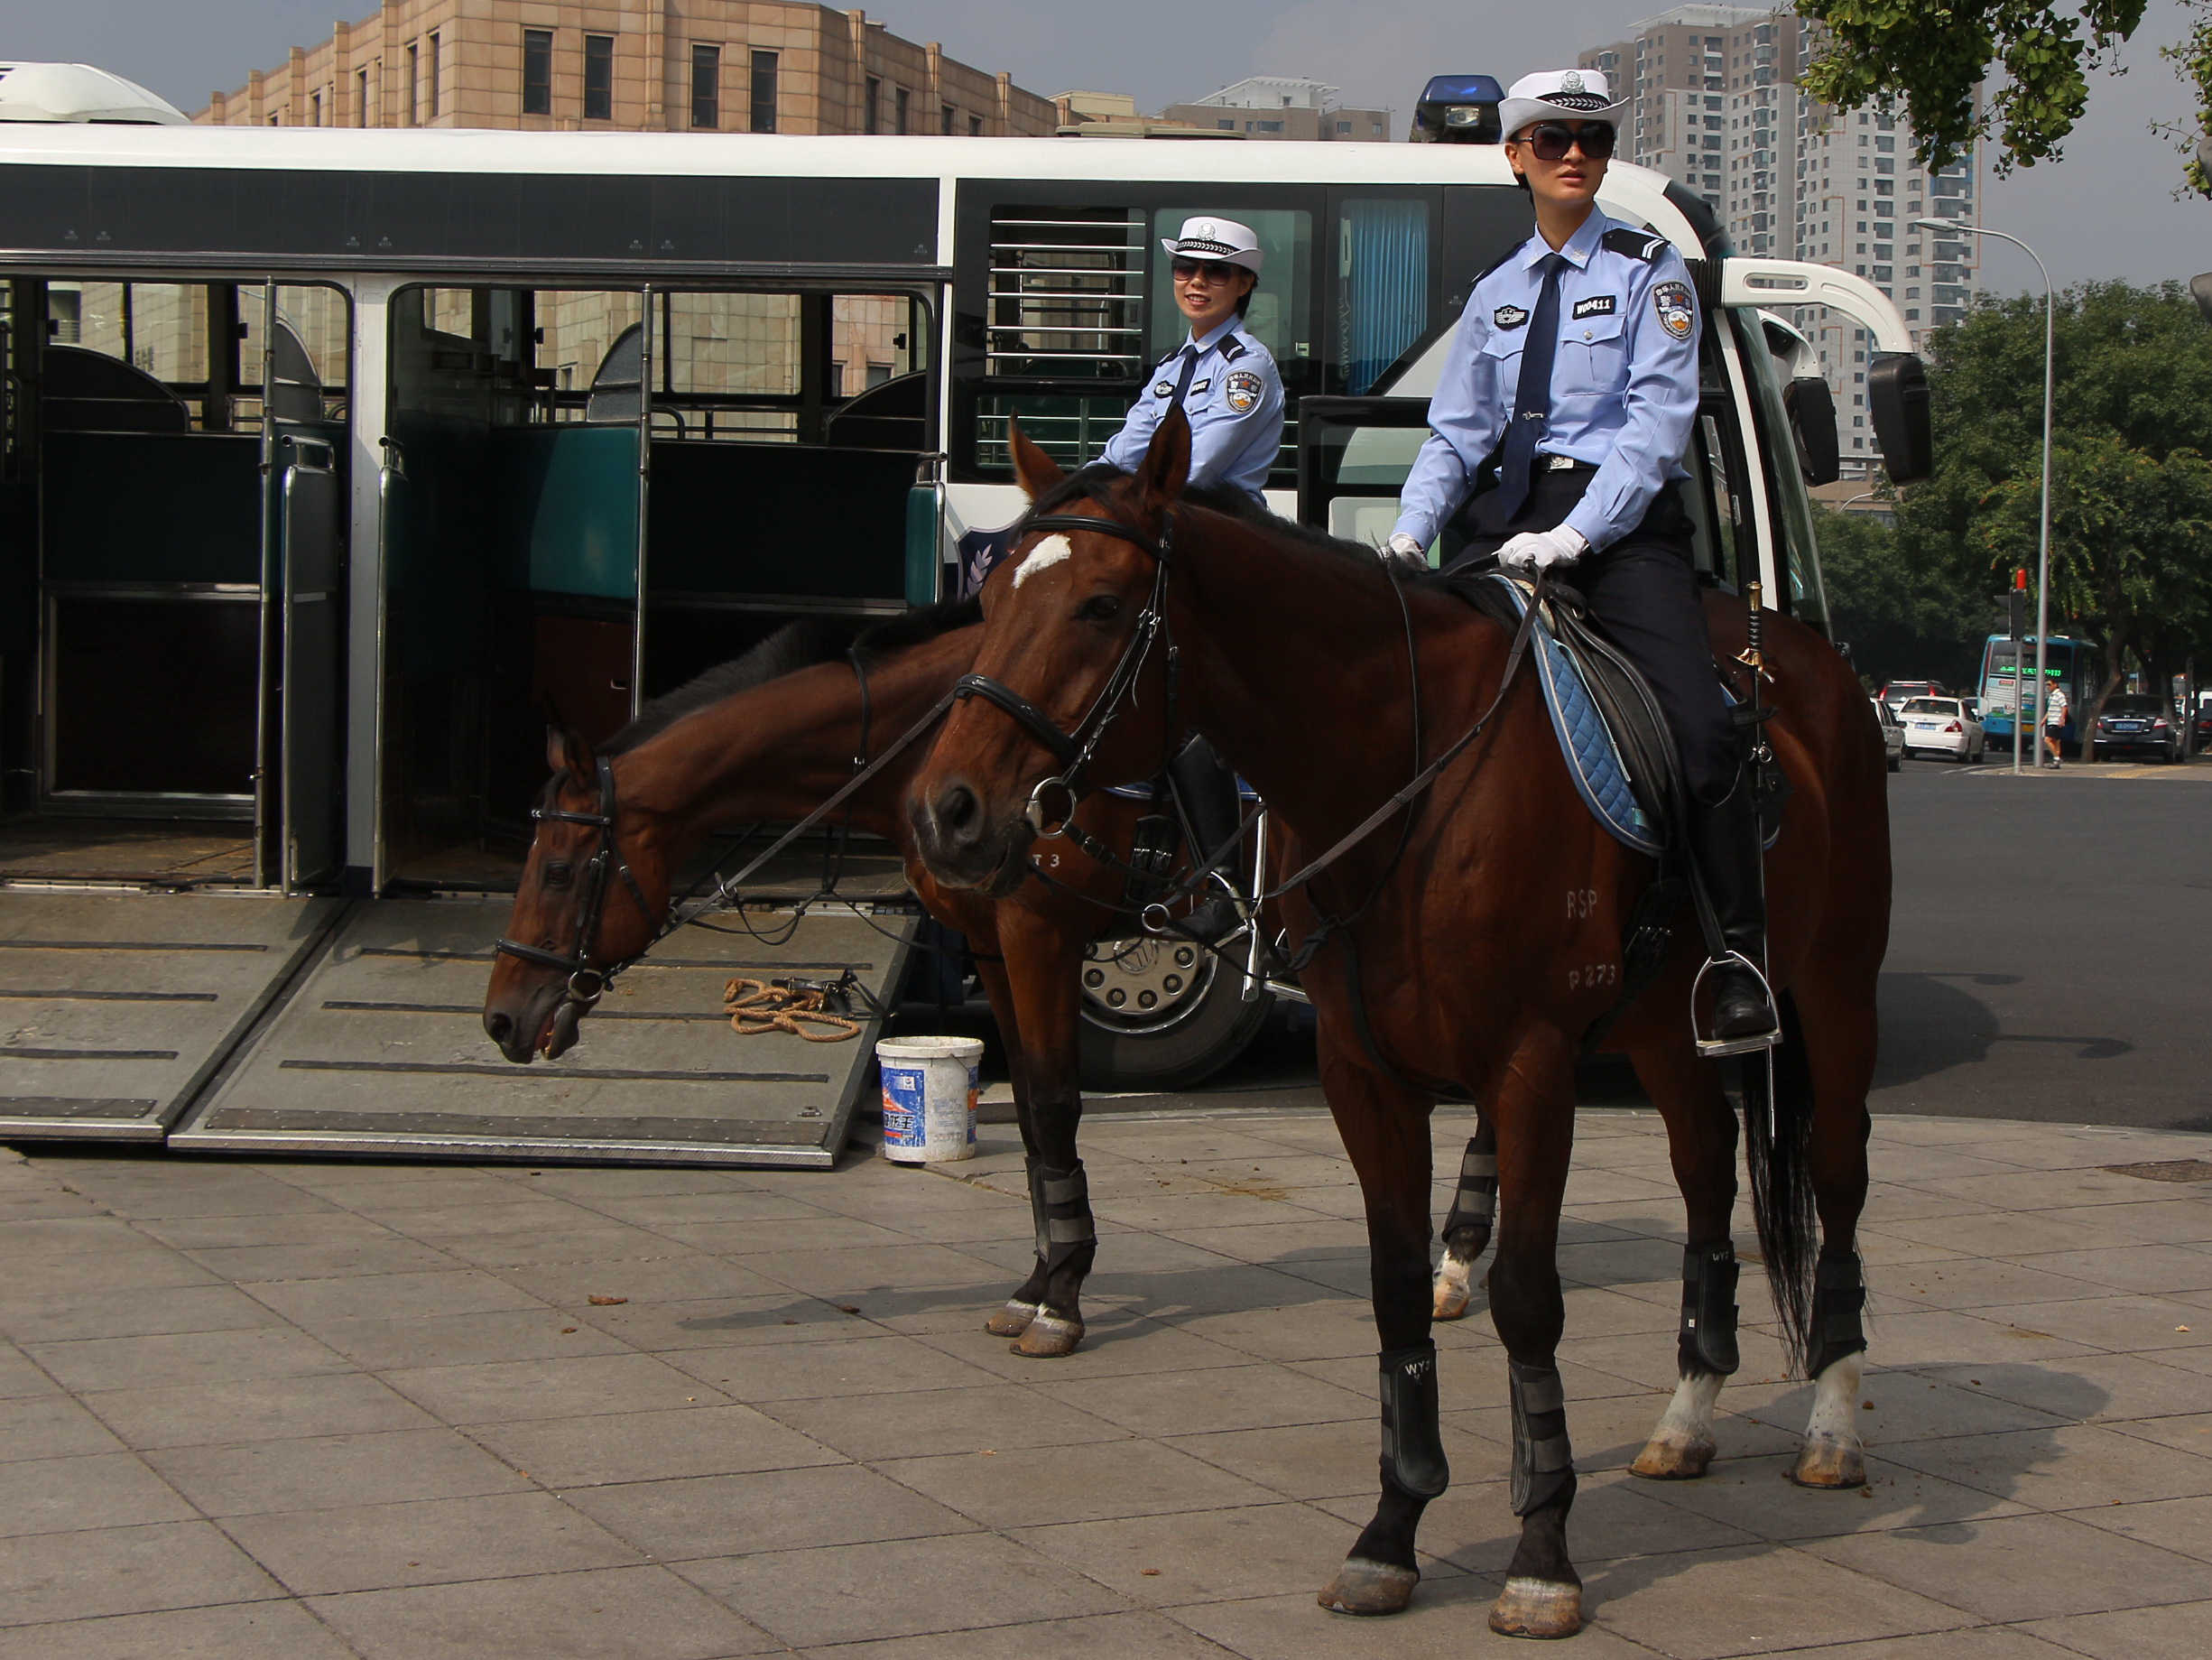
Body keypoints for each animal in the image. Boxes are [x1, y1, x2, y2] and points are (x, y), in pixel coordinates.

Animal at [906, 422, 1893, 1646]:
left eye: (1097, 605)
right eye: (991, 597)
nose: (946, 810)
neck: (1409, 780)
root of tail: (1808, 656)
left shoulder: (1530, 1068)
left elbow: (1526, 1299)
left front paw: (1542, 1554)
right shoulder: (1364, 1072)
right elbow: (1390, 1290)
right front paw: (1390, 1532)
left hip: (1836, 991)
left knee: (1838, 1179)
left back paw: (1834, 1425)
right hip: (1667, 1028)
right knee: (1708, 1171)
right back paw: (1688, 1413)